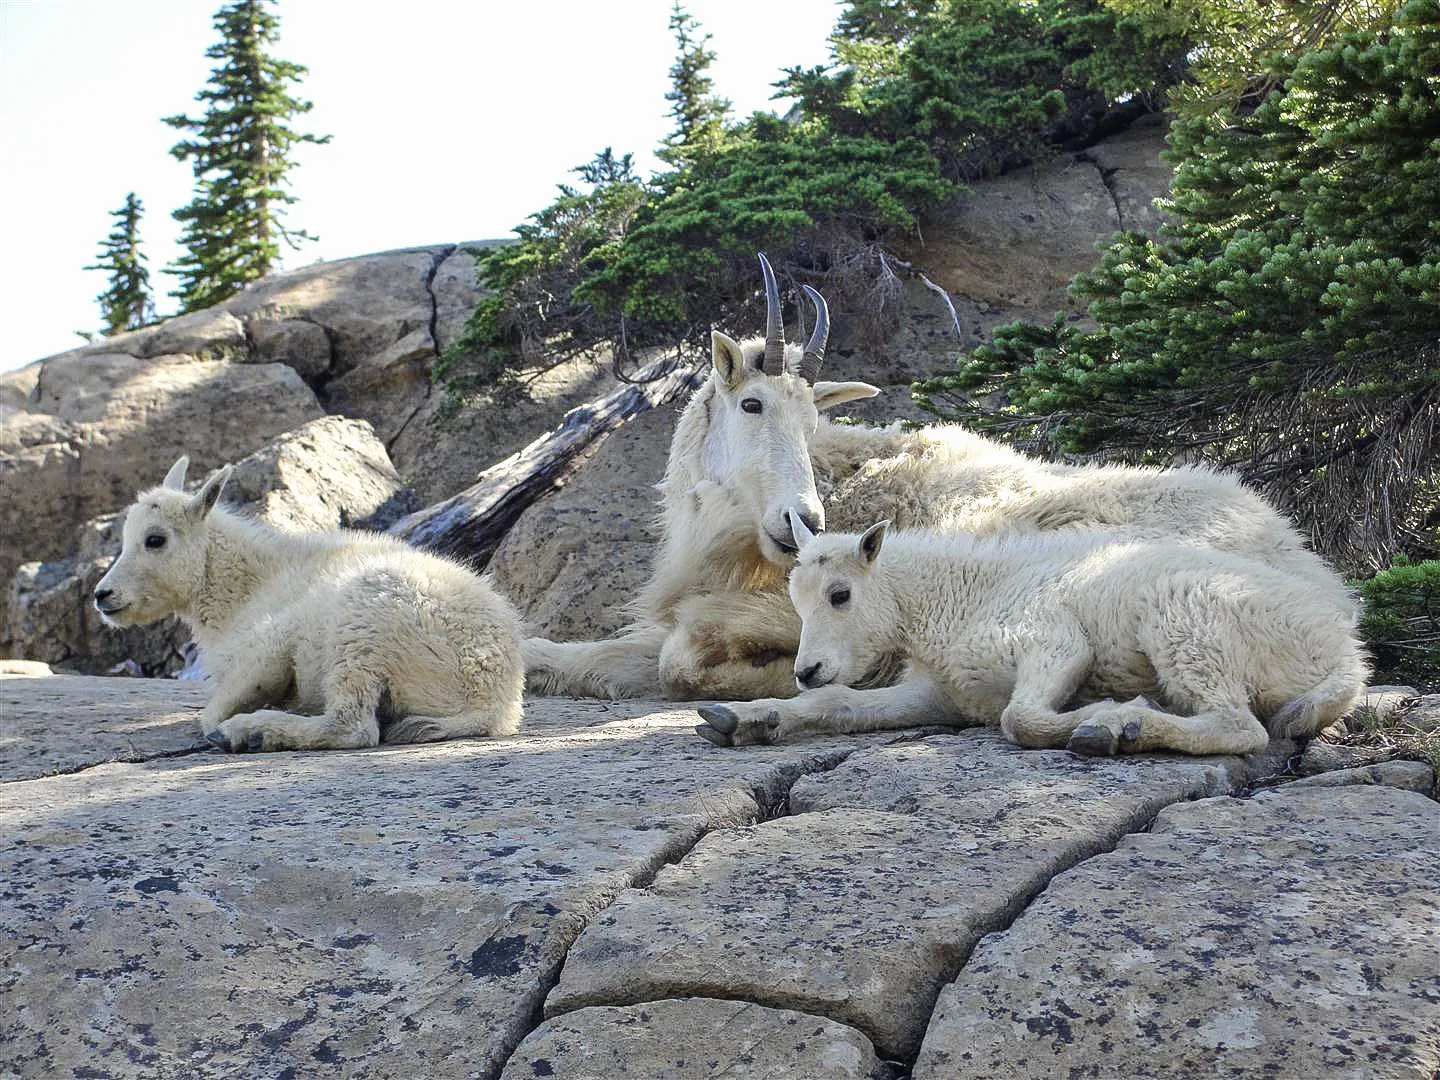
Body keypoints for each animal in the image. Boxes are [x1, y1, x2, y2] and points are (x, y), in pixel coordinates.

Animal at [93, 457, 524, 752]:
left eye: (155, 540)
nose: (102, 595)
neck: (244, 592)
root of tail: (494, 701)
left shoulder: (267, 644)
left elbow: (210, 714)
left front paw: (244, 722)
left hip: (363, 629)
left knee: (353, 726)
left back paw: (254, 732)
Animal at [696, 517, 1368, 756]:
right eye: (796, 599)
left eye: (840, 595)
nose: (807, 669)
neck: (956, 599)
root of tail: (1345, 653)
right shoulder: (944, 694)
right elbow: (840, 703)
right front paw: (745, 718)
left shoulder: (1052, 641)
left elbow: (1019, 719)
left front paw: (1095, 713)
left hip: (1188, 620)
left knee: (1240, 726)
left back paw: (1121, 725)